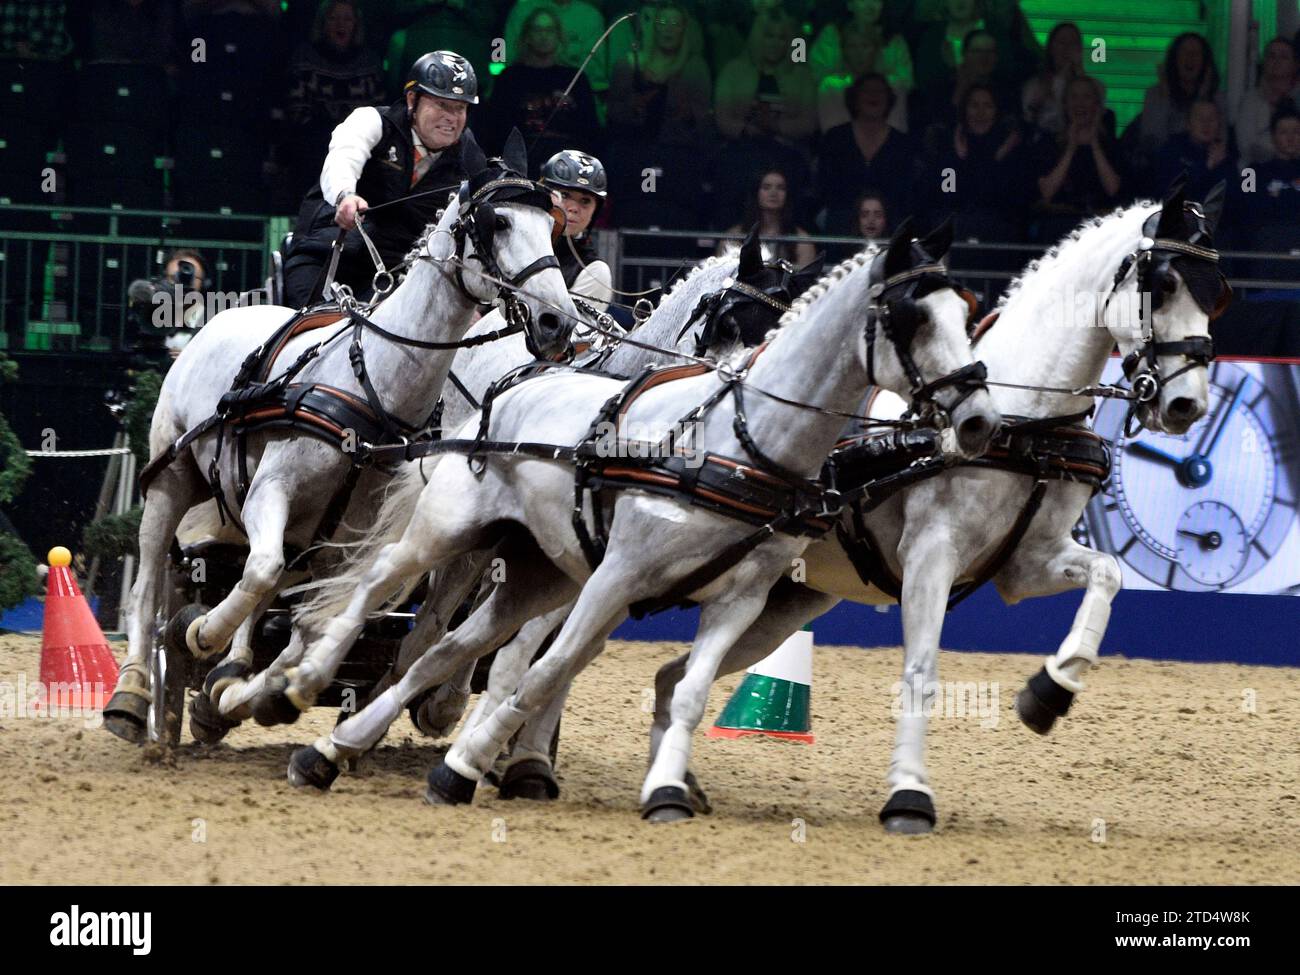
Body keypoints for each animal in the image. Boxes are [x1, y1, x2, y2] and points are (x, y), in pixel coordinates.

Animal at [106, 133, 579, 743]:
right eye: (497, 221)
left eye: (552, 224)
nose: (557, 324)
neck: (371, 385)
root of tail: (213, 320)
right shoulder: (269, 491)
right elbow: (258, 575)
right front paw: (203, 636)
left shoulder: (343, 543)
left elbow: (306, 625)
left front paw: (255, 693)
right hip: (173, 477)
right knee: (149, 585)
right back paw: (133, 695)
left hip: (301, 535)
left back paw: (225, 681)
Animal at [282, 223, 993, 816]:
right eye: (726, 319)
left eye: (780, 323)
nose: (974, 414)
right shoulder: (605, 573)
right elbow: (531, 664)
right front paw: (484, 754)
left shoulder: (649, 584)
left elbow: (583, 668)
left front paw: (537, 763)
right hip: (458, 529)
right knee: (409, 603)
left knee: (456, 634)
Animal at [650, 184, 1227, 832]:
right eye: (1165, 284)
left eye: (1218, 290)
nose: (1185, 404)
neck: (1024, 418)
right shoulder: (933, 553)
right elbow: (922, 673)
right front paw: (909, 795)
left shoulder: (1029, 562)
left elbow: (1108, 574)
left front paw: (1049, 691)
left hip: (781, 601)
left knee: (674, 674)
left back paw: (676, 780)